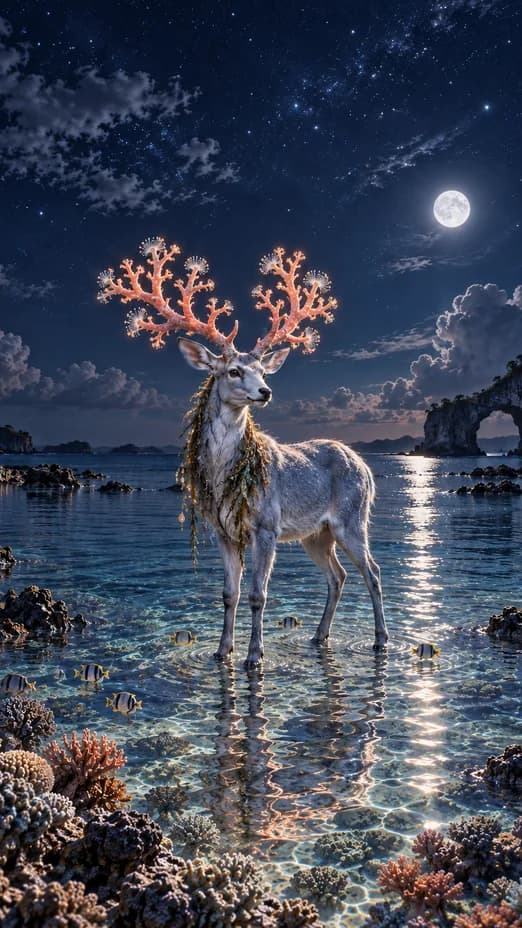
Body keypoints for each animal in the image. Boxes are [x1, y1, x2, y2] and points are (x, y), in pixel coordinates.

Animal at [98, 237, 388, 667]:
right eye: (233, 371)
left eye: (263, 371)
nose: (265, 391)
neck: (223, 476)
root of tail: (365, 467)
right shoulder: (222, 530)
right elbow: (228, 594)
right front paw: (222, 651)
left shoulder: (266, 525)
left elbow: (257, 595)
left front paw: (255, 655)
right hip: (316, 533)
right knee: (339, 576)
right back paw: (319, 636)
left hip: (351, 518)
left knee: (373, 570)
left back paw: (381, 639)